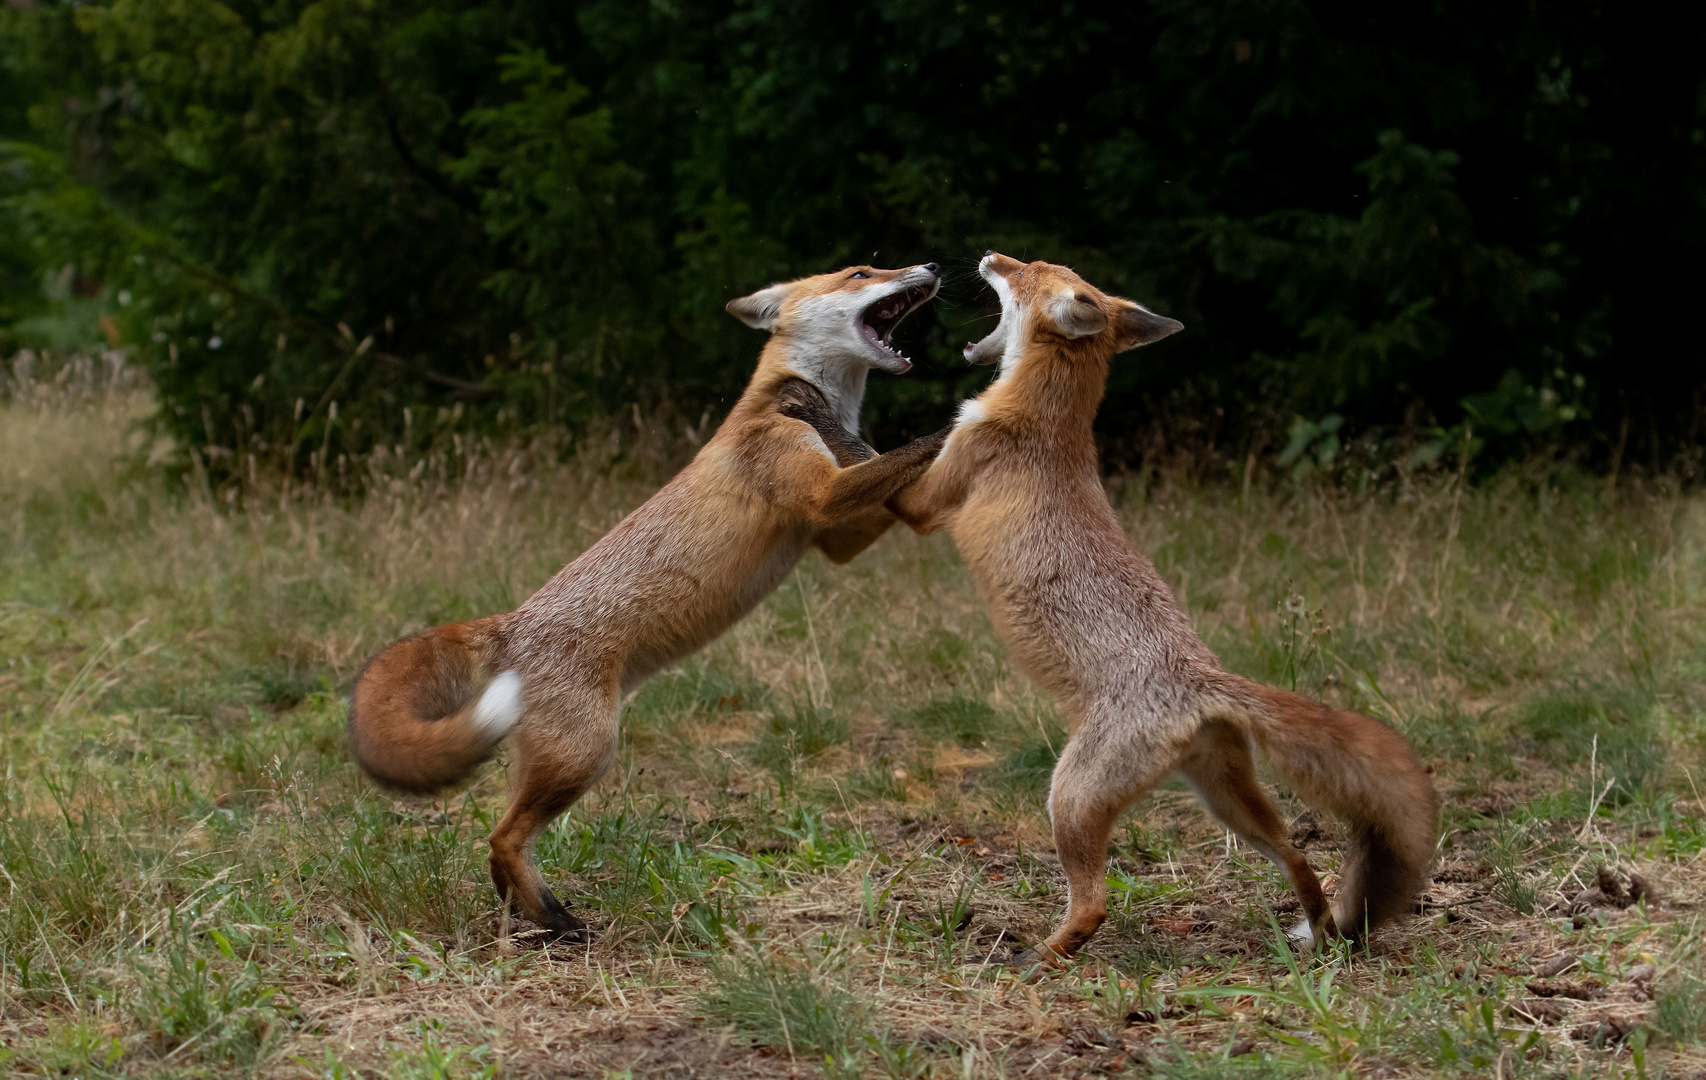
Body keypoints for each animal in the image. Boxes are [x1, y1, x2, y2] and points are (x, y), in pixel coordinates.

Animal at [348, 261, 955, 934]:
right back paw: (558, 923)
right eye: (861, 271)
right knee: (502, 837)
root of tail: (511, 623)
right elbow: (913, 446)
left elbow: (884, 464)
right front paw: (973, 411)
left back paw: (531, 918)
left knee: (500, 845)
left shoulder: (837, 536)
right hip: (586, 753)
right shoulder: (820, 495)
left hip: (556, 759)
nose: (931, 266)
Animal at [887, 250, 1433, 962]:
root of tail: (1202, 679)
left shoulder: (928, 504)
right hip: (1228, 804)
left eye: (1026, 269)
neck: (1049, 416)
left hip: (1069, 798)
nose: (987, 256)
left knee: (1094, 903)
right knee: (1298, 856)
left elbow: (890, 473)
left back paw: (1039, 958)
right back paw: (1319, 937)